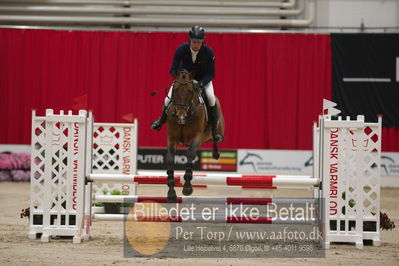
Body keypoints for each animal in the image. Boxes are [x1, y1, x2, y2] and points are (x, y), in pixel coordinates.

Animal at [165, 68, 225, 202]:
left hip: (217, 129)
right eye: (175, 90)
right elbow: (170, 158)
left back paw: (216, 153)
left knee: (215, 137)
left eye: (190, 91)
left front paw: (187, 188)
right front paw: (171, 192)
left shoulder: (196, 137)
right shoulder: (172, 138)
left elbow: (190, 154)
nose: (180, 116)